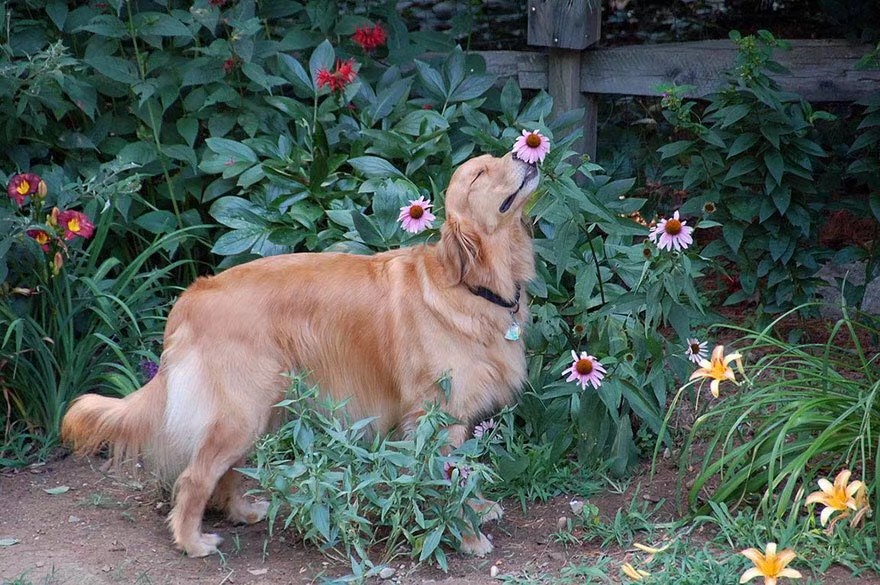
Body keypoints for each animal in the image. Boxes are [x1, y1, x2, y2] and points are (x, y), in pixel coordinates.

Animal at [60, 151, 536, 556]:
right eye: (480, 173)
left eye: (495, 158)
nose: (523, 153)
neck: (470, 285)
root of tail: (193, 295)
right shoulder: (436, 416)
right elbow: (452, 482)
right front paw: (468, 537)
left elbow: (468, 474)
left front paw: (479, 510)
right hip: (242, 413)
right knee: (195, 477)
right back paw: (192, 541)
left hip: (262, 411)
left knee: (227, 472)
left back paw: (244, 511)